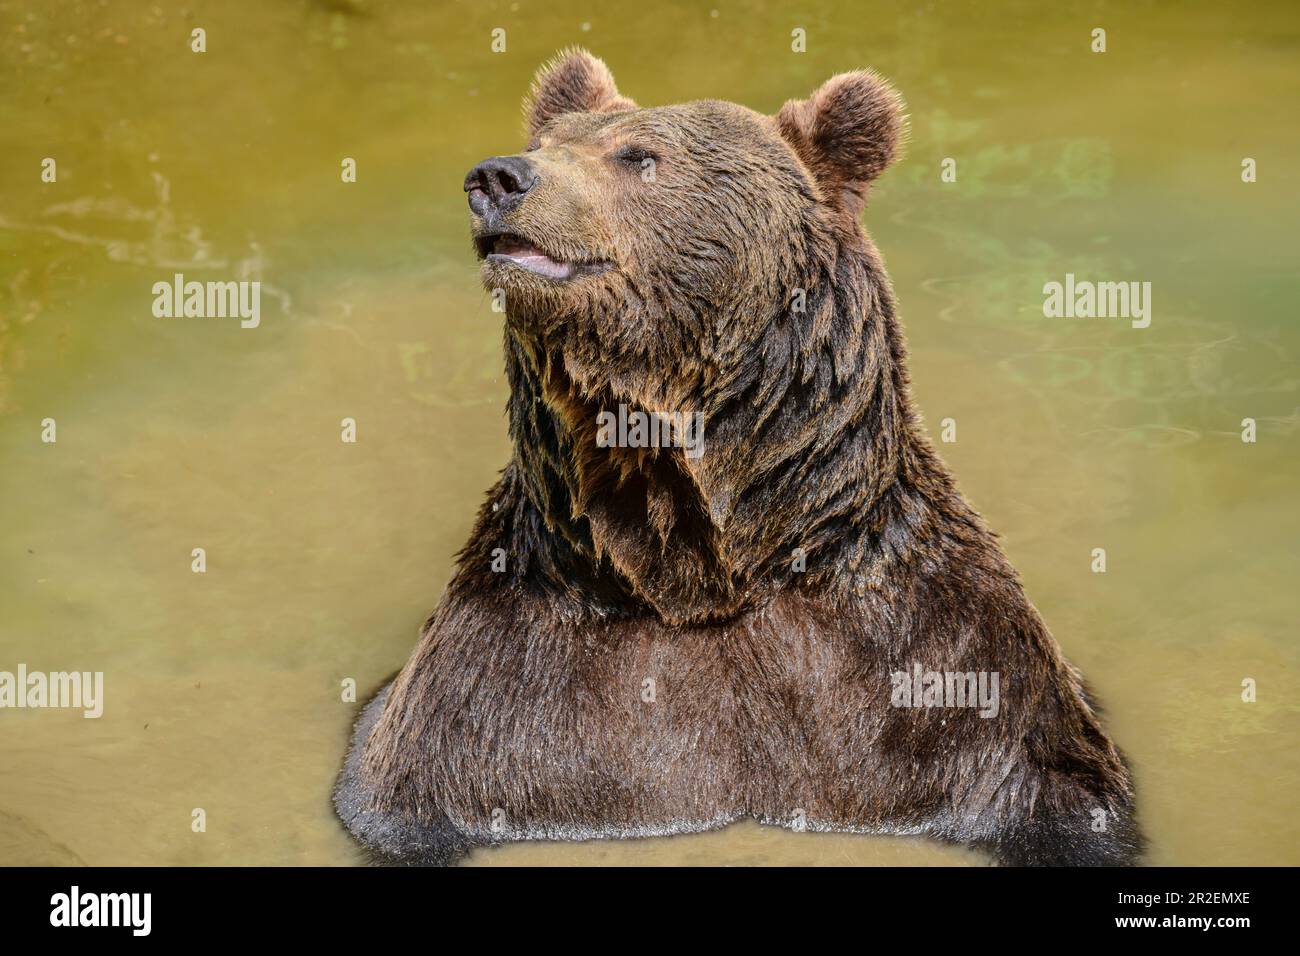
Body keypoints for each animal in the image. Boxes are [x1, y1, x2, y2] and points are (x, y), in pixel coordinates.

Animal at [334, 48, 1143, 867]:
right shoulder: (503, 690)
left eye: (638, 155)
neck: (698, 564)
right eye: (545, 141)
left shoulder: (936, 664)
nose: (499, 178)